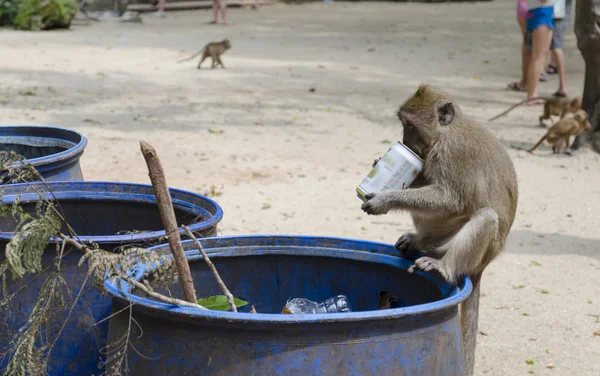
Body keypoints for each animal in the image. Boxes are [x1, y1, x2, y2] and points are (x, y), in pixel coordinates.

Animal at [360, 84, 520, 376]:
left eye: (409, 125)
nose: (403, 140)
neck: (445, 132)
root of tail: (483, 265)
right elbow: (423, 176)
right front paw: (380, 162)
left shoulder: (453, 153)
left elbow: (449, 198)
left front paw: (385, 199)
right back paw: (417, 241)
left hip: (466, 248)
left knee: (485, 217)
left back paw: (443, 266)